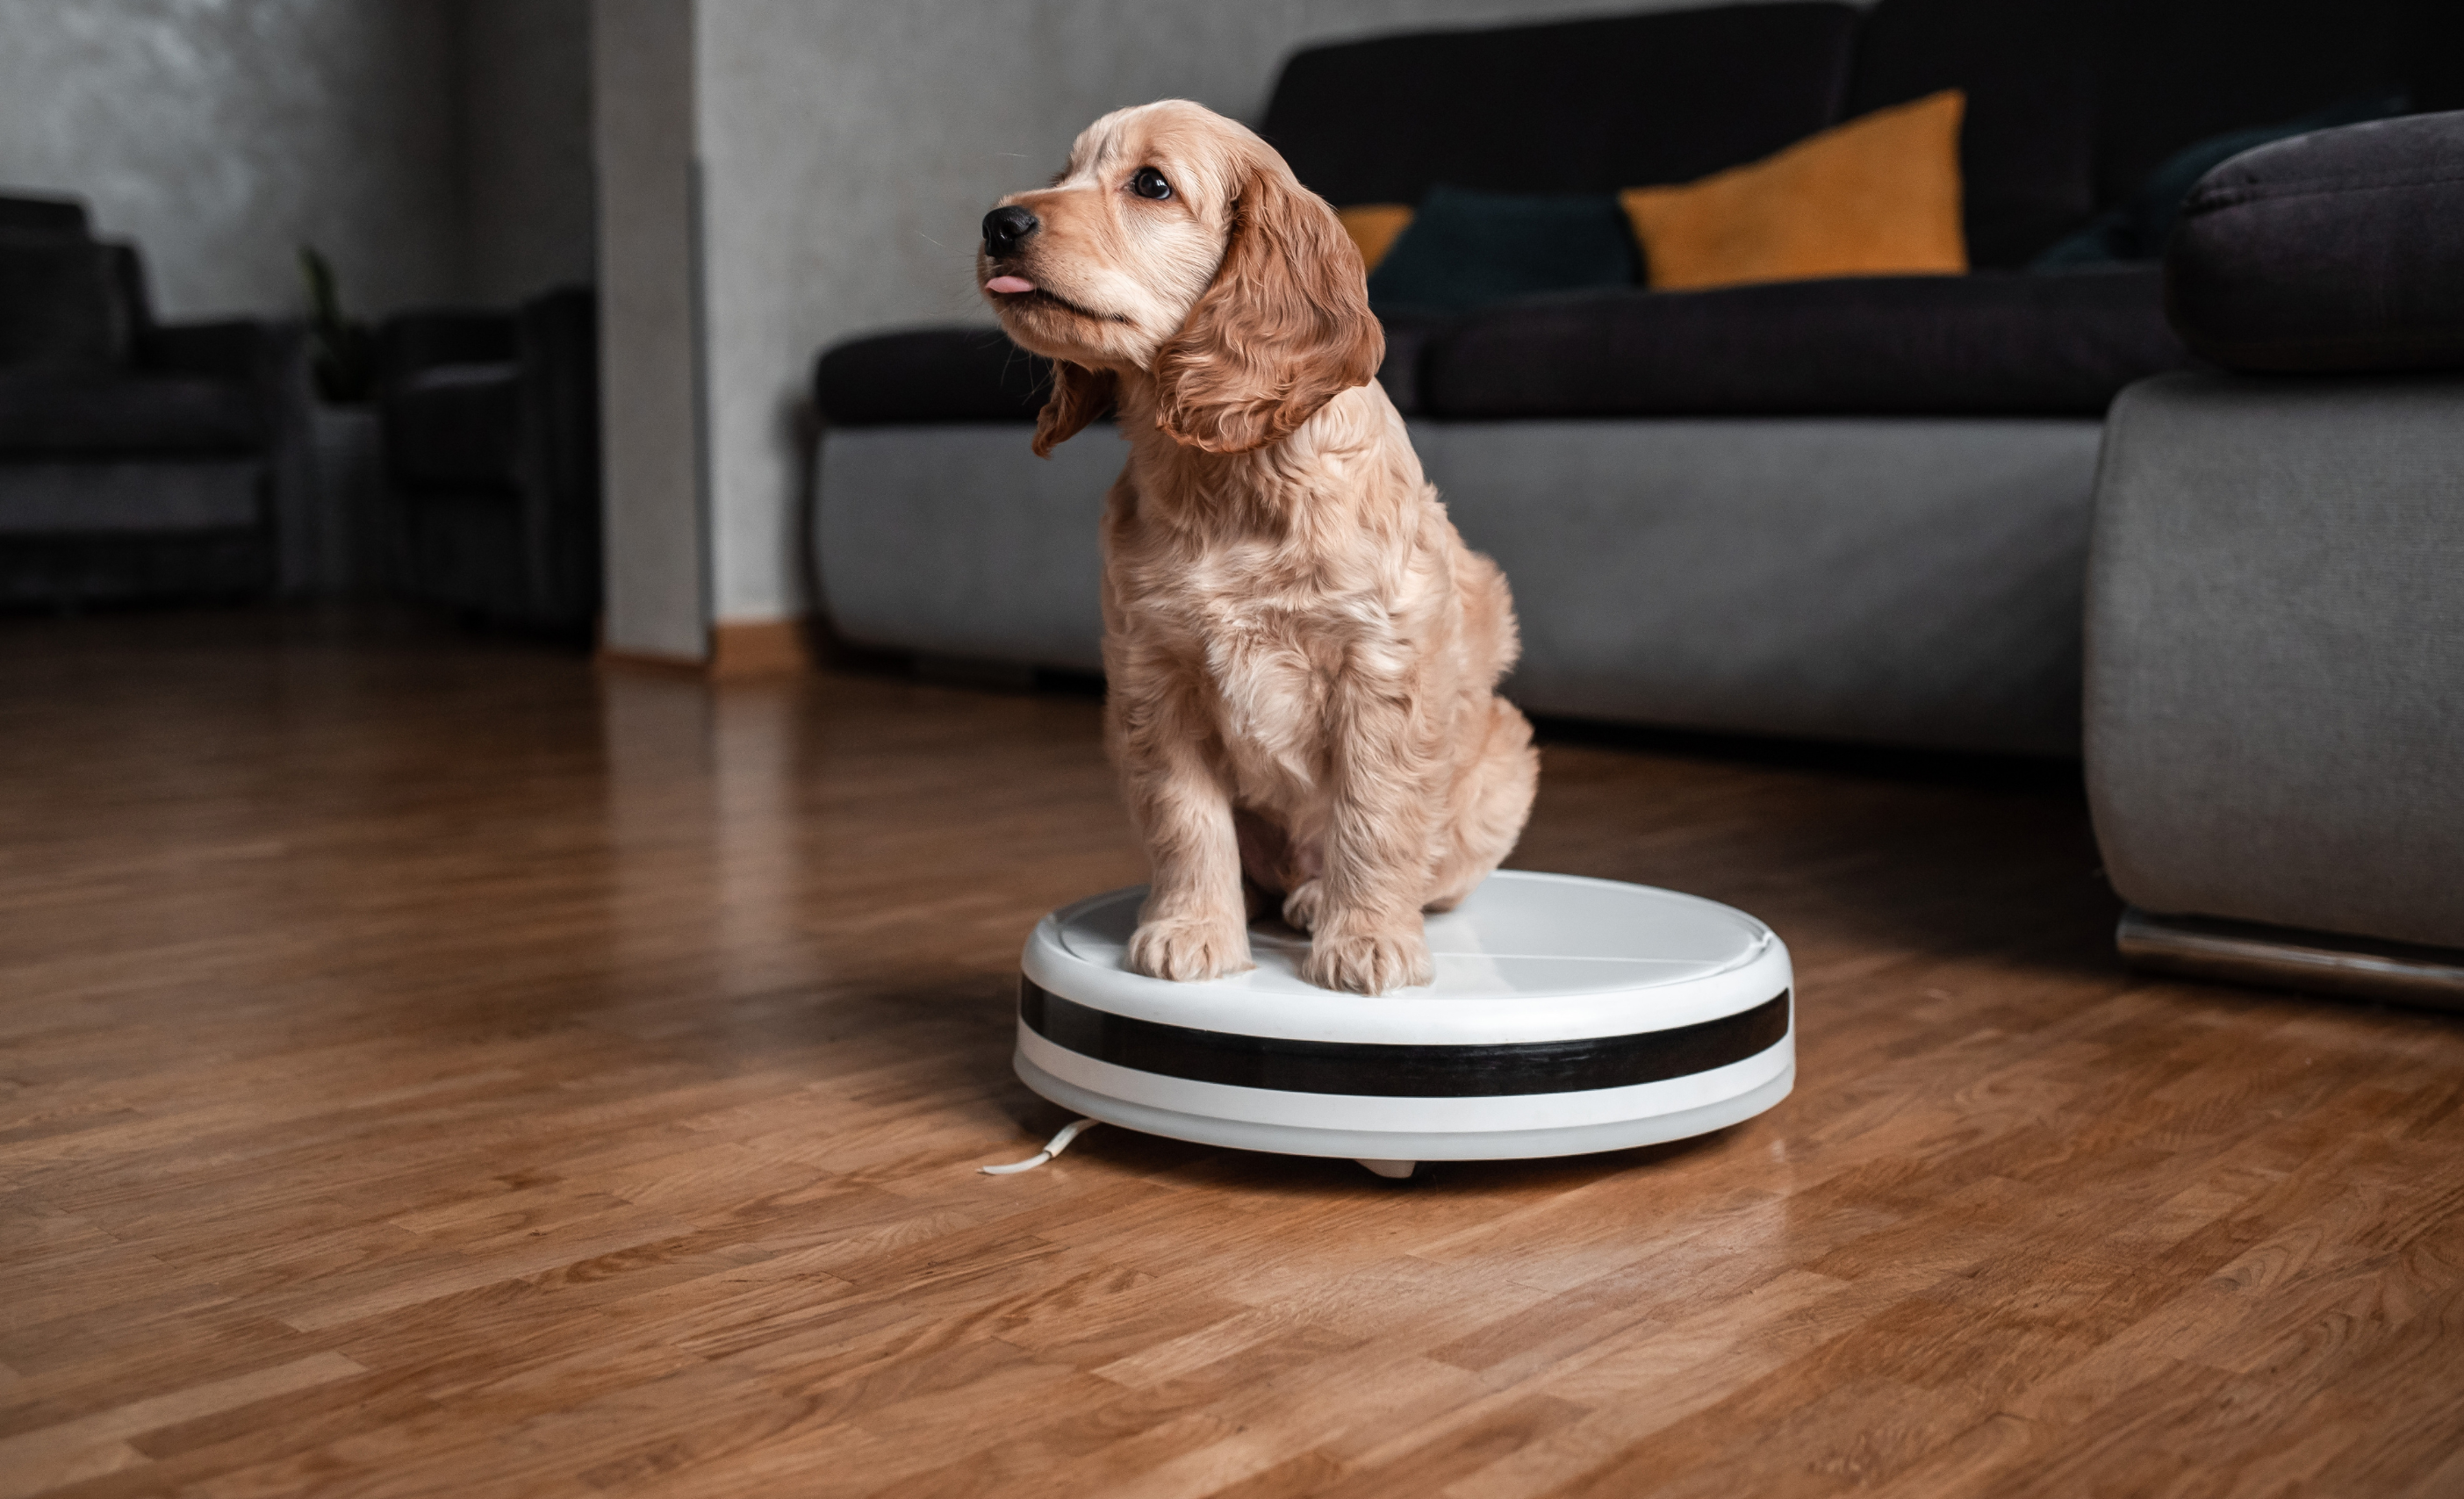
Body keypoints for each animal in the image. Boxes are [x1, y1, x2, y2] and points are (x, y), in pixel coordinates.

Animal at [975, 102, 1527, 995]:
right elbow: (1183, 818)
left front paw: (1367, 938)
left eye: (1150, 185)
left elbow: (1374, 816)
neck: (1223, 475)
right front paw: (1192, 928)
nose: (998, 224)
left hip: (1504, 757)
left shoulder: (1381, 670)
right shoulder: (1152, 674)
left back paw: (1320, 900)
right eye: (1063, 175)